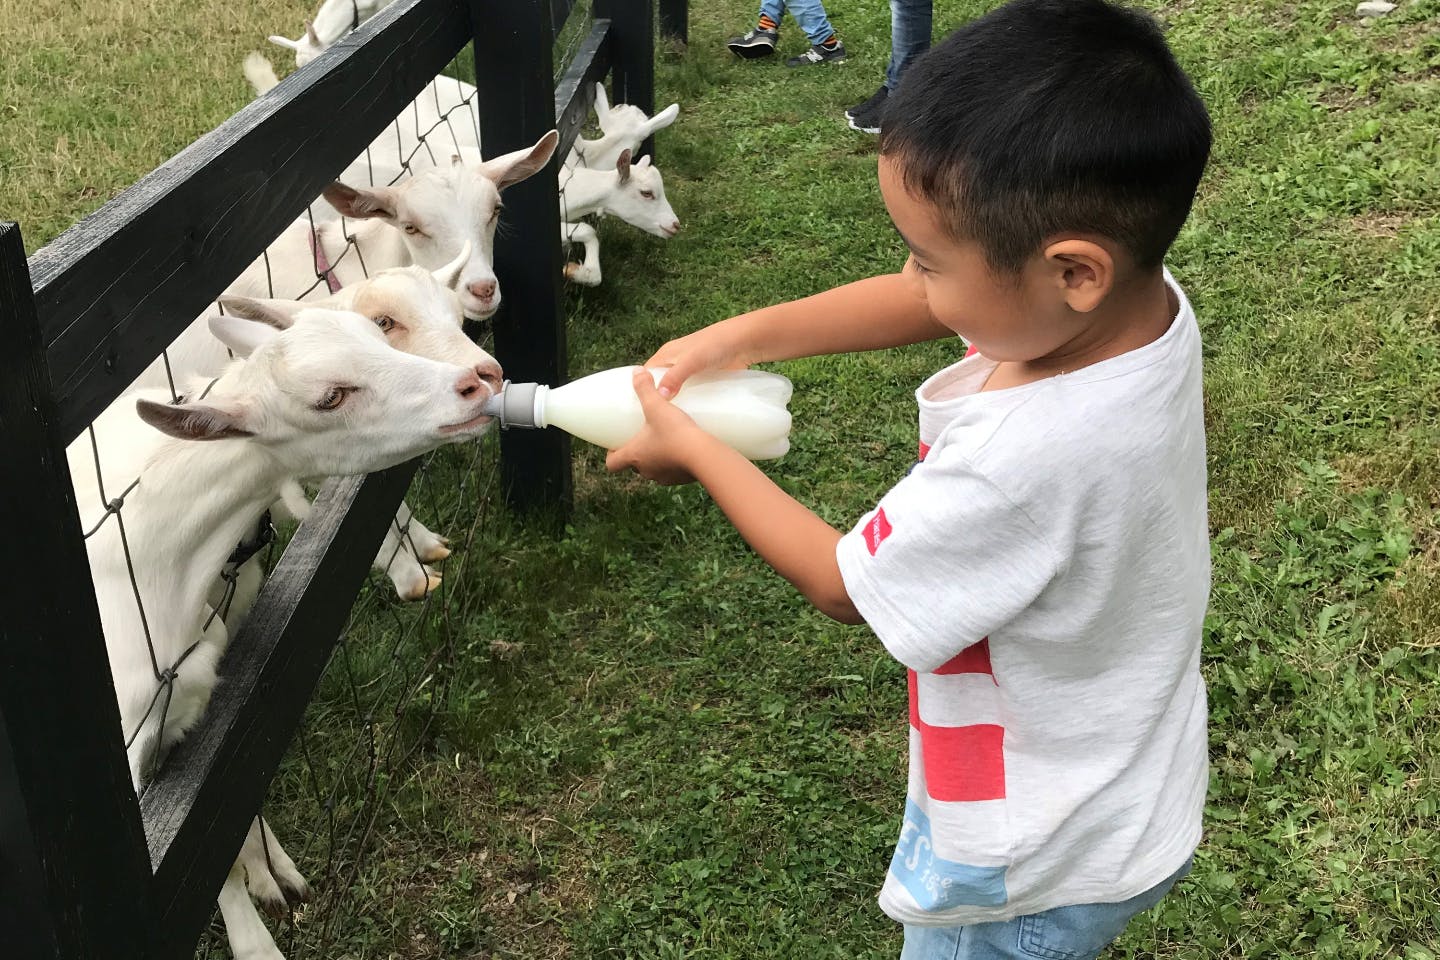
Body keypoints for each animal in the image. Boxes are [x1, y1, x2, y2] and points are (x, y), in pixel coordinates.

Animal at [74, 308, 495, 960]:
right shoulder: (136, 762)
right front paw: (257, 943)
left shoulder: (189, 713)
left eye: (373, 334)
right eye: (330, 398)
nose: (476, 383)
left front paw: (266, 874)